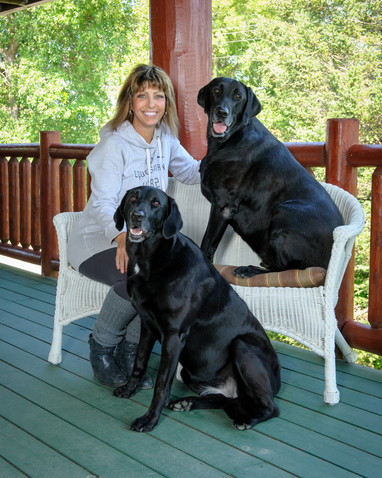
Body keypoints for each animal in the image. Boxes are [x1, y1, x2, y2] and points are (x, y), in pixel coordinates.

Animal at [112, 187, 280, 434]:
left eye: (155, 203)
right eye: (133, 198)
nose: (137, 216)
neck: (151, 257)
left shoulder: (174, 335)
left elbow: (162, 384)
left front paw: (149, 419)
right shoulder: (147, 325)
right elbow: (139, 362)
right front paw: (129, 389)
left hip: (242, 345)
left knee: (270, 407)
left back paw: (247, 420)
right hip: (189, 371)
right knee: (224, 400)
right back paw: (187, 402)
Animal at [197, 77, 344, 278]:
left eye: (238, 96)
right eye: (217, 91)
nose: (222, 112)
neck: (229, 141)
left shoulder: (223, 207)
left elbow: (207, 242)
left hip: (285, 213)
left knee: (288, 267)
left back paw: (250, 269)